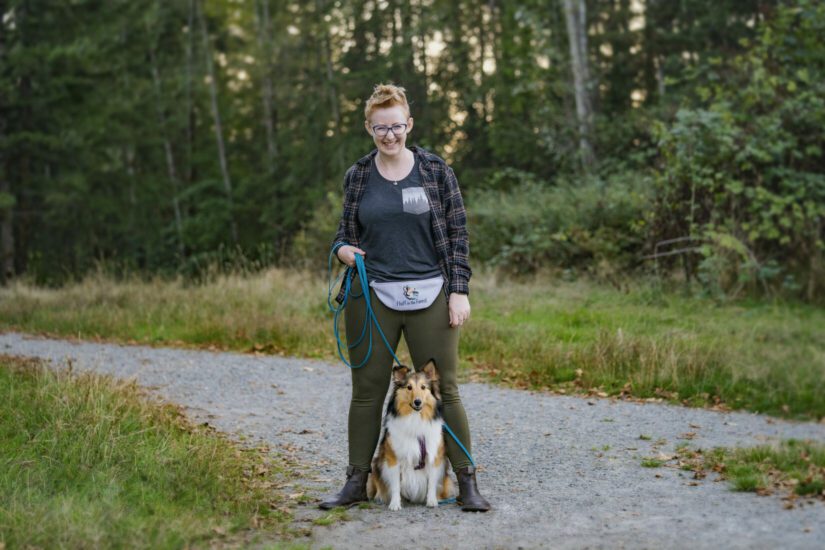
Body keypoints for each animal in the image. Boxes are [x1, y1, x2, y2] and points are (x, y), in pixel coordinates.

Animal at [368, 360, 458, 512]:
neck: (415, 418)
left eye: (423, 387)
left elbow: (432, 482)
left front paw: (432, 501)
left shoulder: (434, 456)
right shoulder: (393, 457)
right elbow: (395, 484)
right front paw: (395, 504)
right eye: (409, 387)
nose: (417, 402)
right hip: (376, 465)